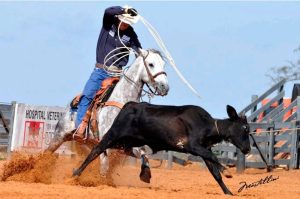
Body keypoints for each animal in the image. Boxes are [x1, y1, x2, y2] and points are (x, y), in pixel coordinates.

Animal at [46, 49, 170, 183]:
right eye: (151, 64)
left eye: (163, 64)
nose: (165, 87)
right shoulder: (106, 145)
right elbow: (104, 168)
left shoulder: (126, 146)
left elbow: (143, 152)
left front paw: (145, 174)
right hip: (59, 136)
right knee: (46, 152)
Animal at [73, 102, 251, 195]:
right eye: (245, 128)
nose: (248, 149)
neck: (207, 124)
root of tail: (129, 105)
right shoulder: (192, 146)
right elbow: (214, 158)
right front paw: (227, 171)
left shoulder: (203, 149)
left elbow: (215, 172)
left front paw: (228, 192)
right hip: (114, 134)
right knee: (96, 149)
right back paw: (76, 173)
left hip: (127, 142)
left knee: (131, 152)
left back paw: (145, 172)